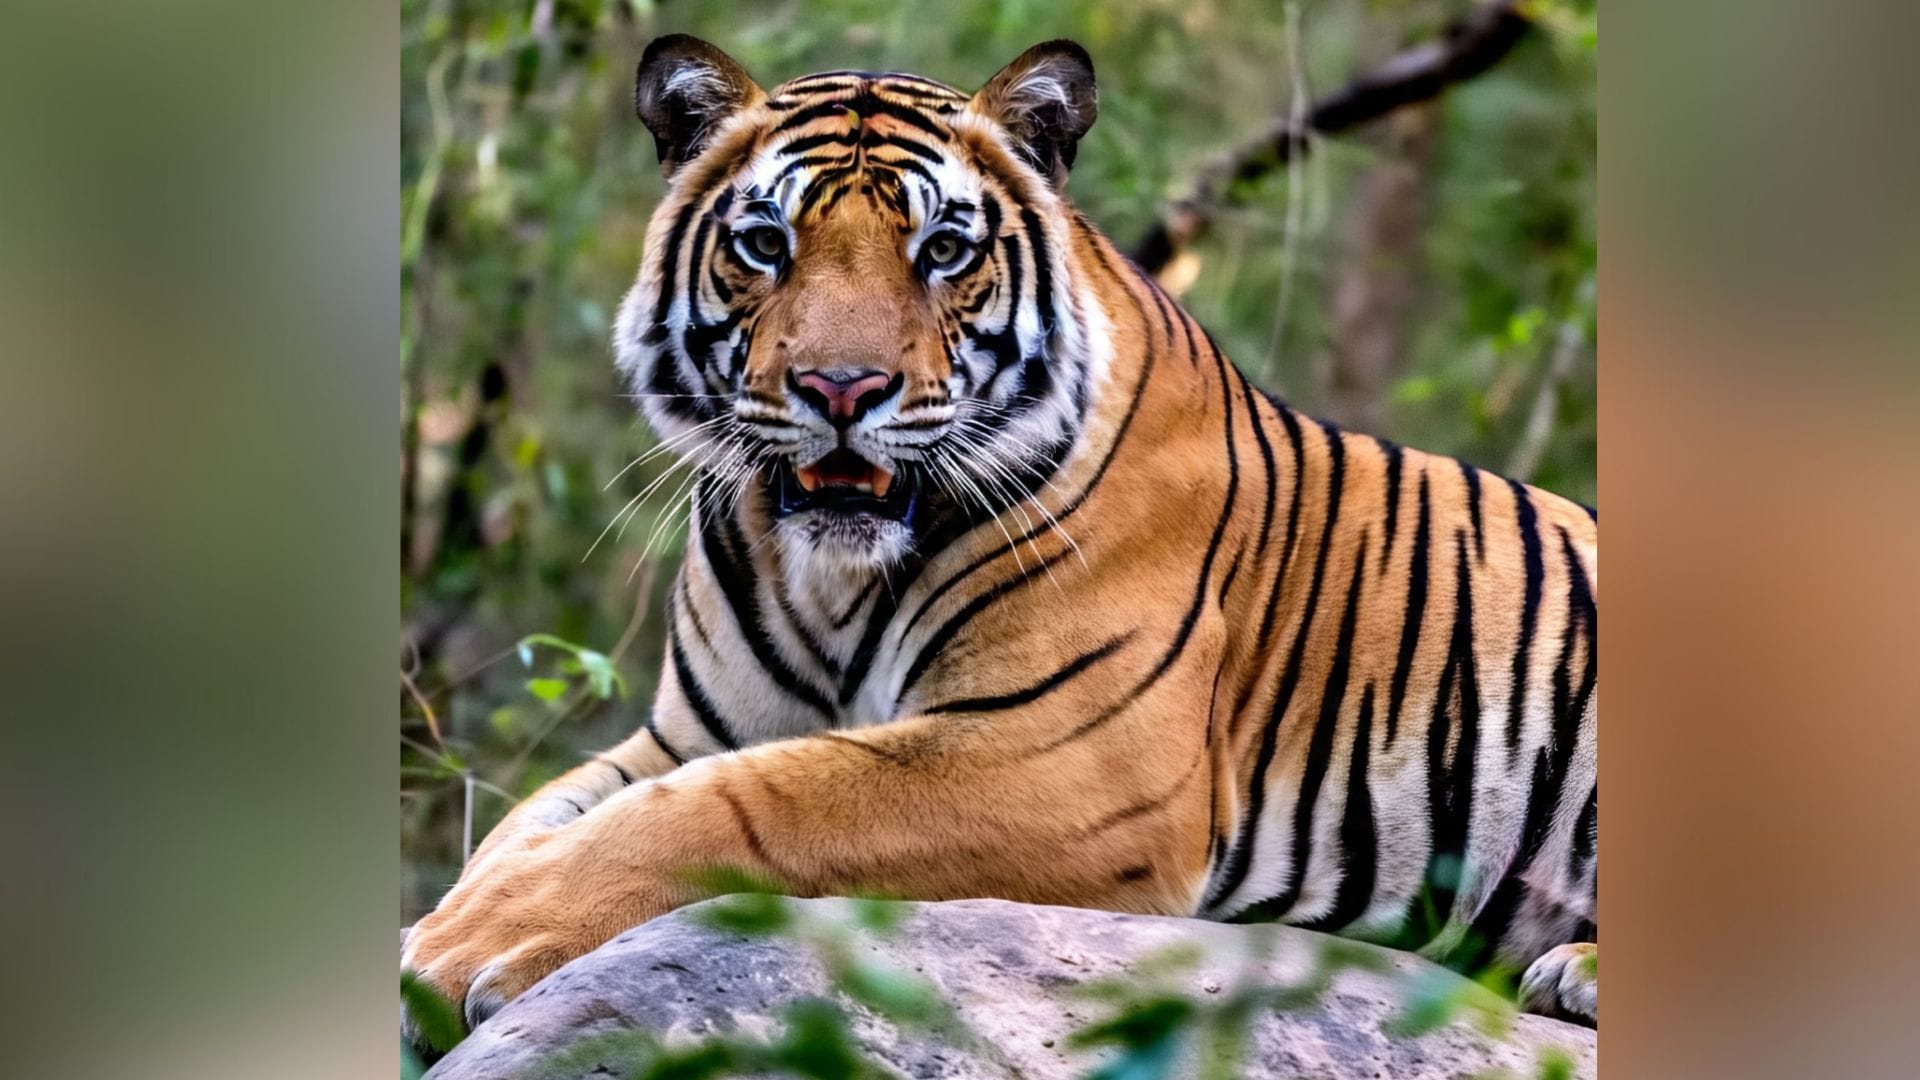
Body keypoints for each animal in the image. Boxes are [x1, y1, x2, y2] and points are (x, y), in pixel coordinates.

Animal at [403, 34, 1600, 1038]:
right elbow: (534, 817)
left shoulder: (1061, 755)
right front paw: (450, 921)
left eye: (941, 248)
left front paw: (471, 946)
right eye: (765, 243)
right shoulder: (685, 733)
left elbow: (742, 806)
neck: (827, 576)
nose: (842, 388)